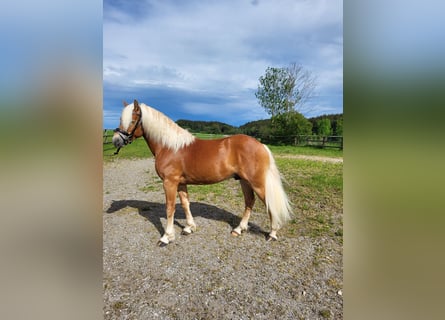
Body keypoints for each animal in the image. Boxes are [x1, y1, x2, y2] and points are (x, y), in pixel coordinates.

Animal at [112, 101, 292, 246]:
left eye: (132, 120)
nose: (116, 140)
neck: (169, 147)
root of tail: (261, 145)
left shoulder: (169, 182)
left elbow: (170, 208)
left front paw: (166, 237)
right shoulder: (181, 183)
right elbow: (185, 204)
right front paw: (189, 228)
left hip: (257, 183)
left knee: (268, 203)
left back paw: (272, 233)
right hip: (244, 181)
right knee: (249, 202)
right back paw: (239, 229)